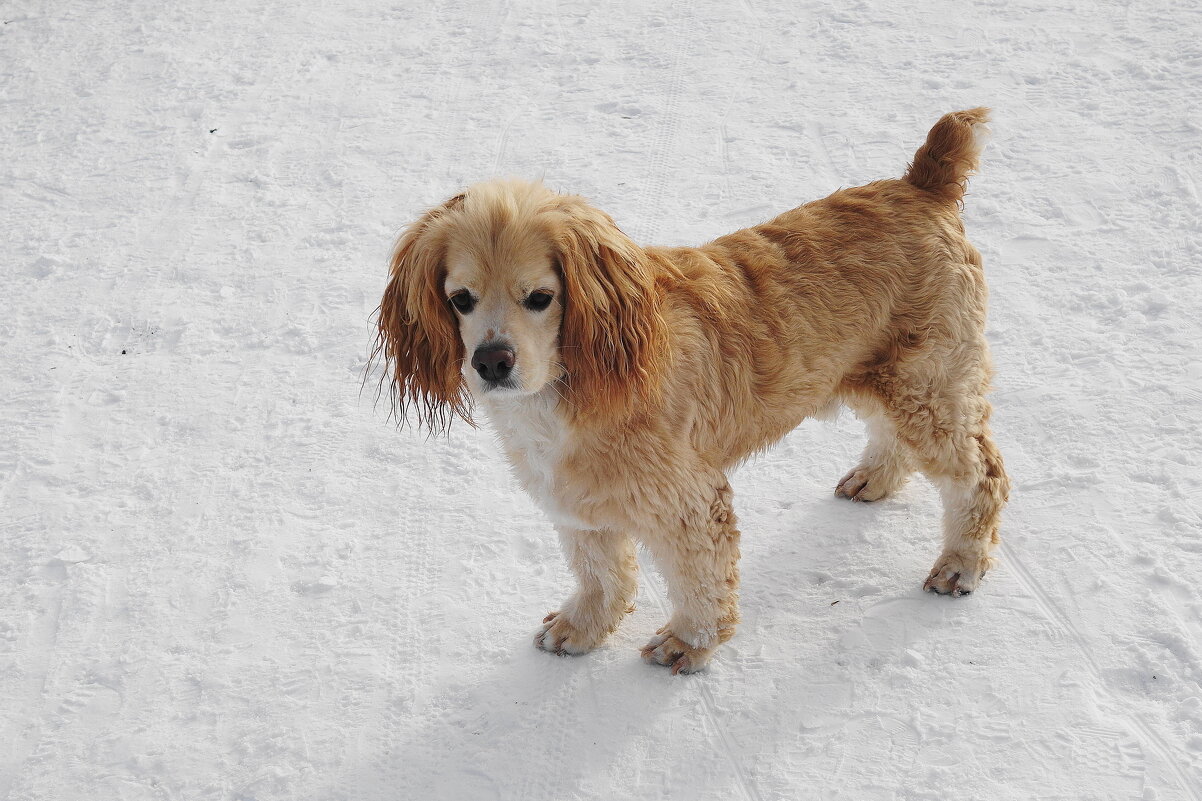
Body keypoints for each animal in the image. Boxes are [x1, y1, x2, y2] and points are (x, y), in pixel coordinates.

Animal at [372, 109, 1004, 673]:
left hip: (928, 382)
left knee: (983, 475)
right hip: (884, 376)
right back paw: (874, 478)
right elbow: (601, 573)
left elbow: (700, 581)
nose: (492, 361)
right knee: (896, 436)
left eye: (540, 297)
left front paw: (688, 644)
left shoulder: (690, 499)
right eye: (460, 298)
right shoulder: (578, 500)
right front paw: (582, 629)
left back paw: (960, 564)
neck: (575, 385)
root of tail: (922, 183)